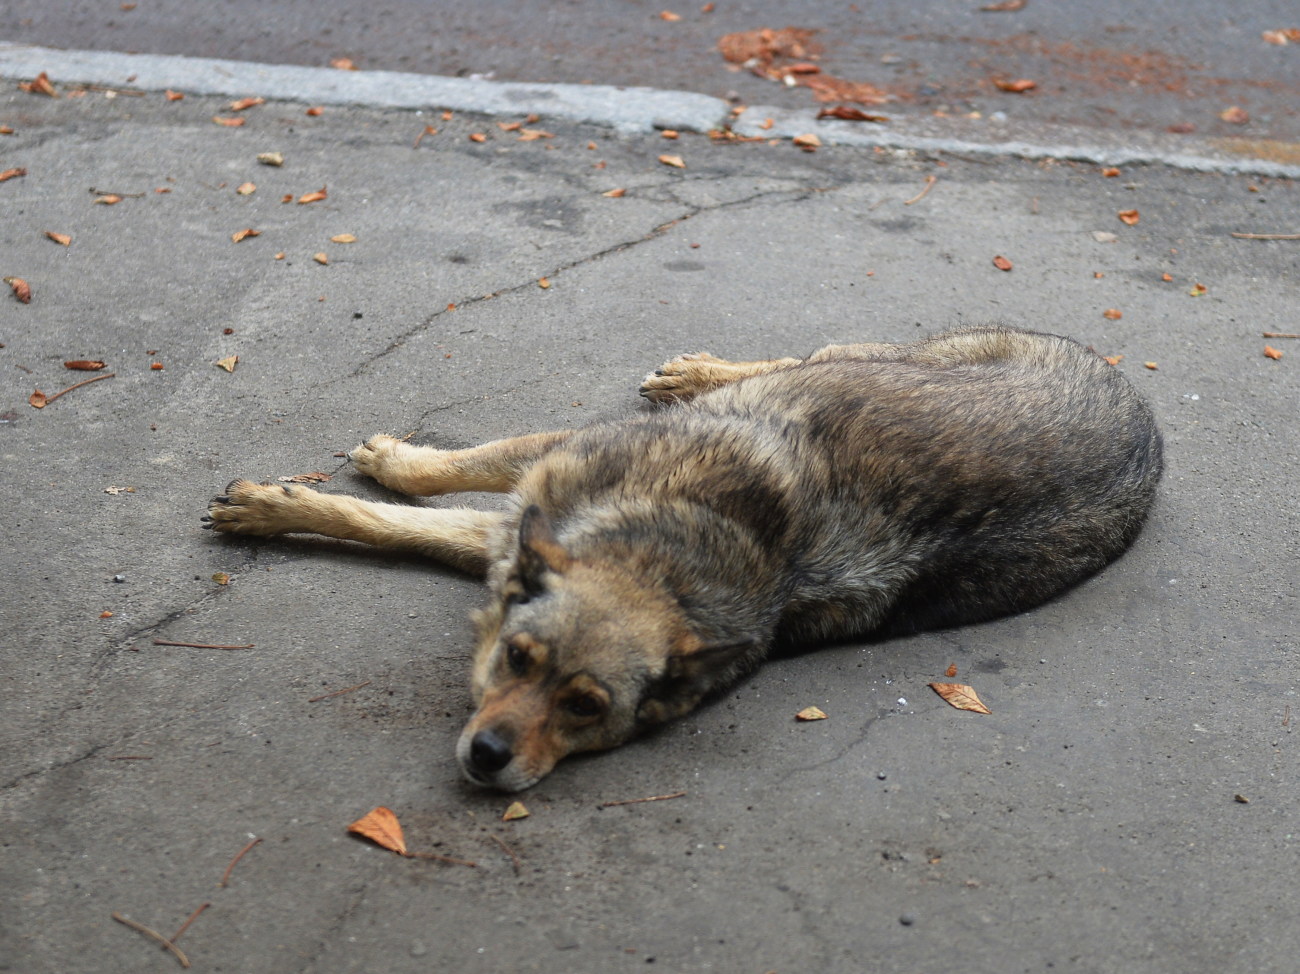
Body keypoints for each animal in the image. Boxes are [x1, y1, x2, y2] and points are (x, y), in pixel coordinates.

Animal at [208, 326, 1164, 790]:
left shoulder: (522, 526)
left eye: (586, 710)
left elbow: (406, 517)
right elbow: (454, 472)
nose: (490, 761)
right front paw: (347, 481)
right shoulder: (543, 482)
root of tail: (1144, 413)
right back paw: (699, 373)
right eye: (516, 660)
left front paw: (291, 503)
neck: (673, 554)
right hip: (878, 356)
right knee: (803, 356)